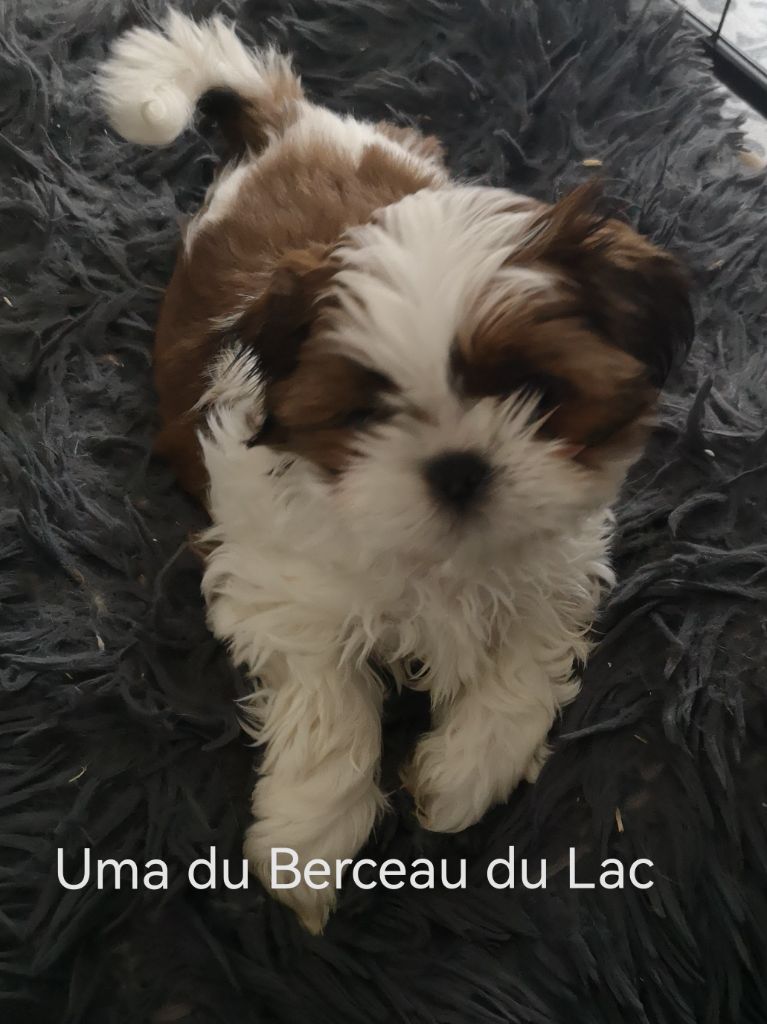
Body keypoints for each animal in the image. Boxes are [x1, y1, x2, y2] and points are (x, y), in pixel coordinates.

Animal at [98, 10, 693, 932]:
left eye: (535, 392)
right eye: (366, 413)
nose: (458, 467)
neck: (440, 562)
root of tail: (294, 127)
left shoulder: (555, 567)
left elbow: (524, 661)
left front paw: (464, 774)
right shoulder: (281, 585)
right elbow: (329, 700)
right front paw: (307, 840)